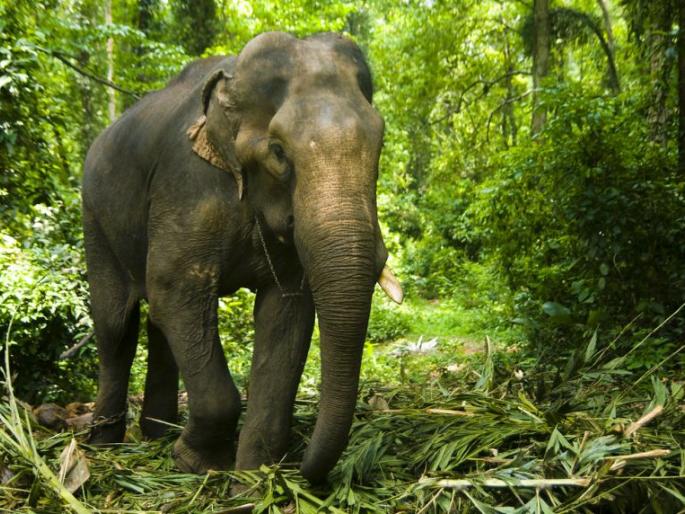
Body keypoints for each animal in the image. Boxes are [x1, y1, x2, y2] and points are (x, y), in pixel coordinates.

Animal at [81, 31, 403, 483]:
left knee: (157, 323)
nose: (304, 468)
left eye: (380, 144)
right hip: (94, 216)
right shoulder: (187, 186)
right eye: (279, 151)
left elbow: (285, 313)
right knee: (116, 326)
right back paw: (103, 446)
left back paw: (157, 434)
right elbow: (175, 289)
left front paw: (253, 482)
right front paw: (195, 464)